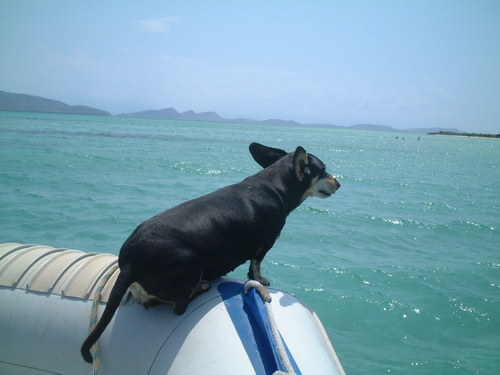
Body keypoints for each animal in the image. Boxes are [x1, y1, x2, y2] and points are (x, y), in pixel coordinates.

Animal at [82, 143, 340, 364]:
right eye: (323, 170)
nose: (338, 184)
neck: (276, 184)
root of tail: (129, 264)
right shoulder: (265, 243)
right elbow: (256, 265)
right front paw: (260, 279)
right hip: (192, 263)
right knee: (179, 305)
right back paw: (200, 287)